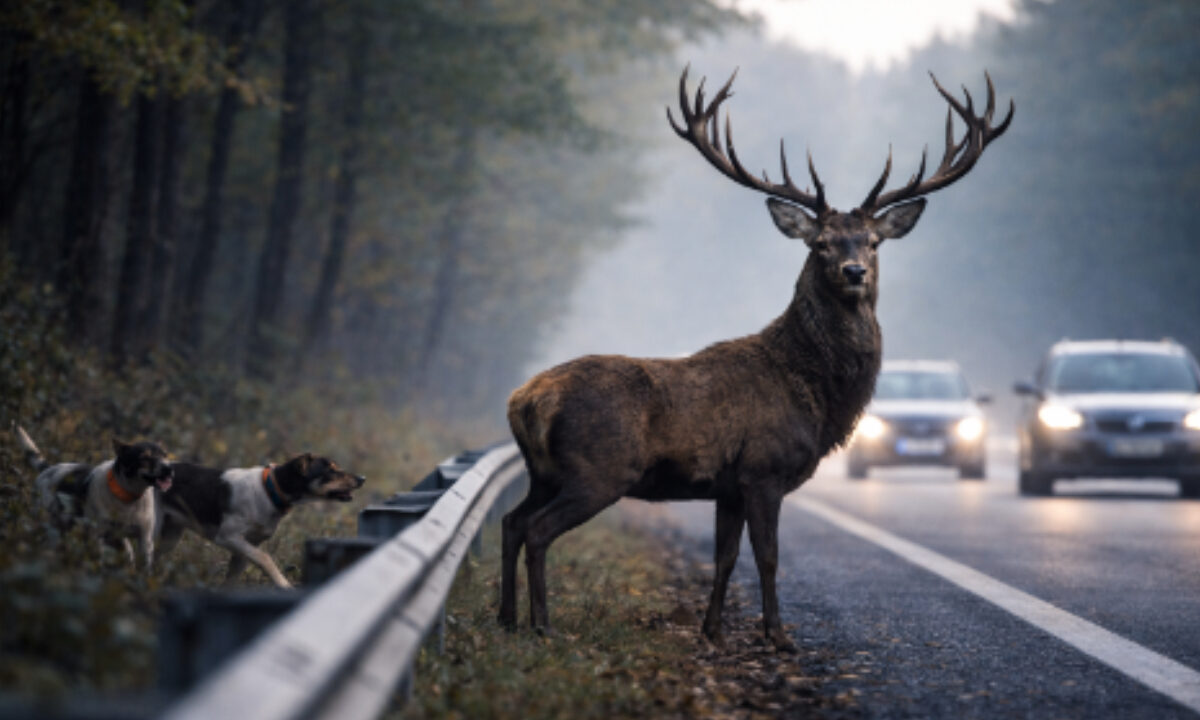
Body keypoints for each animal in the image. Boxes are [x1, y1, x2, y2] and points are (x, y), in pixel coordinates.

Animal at [500, 66, 1013, 651]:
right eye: (821, 243)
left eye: (873, 241)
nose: (854, 272)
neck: (817, 396)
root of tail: (524, 400)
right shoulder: (764, 468)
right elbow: (767, 557)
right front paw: (778, 635)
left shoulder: (728, 485)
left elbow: (725, 558)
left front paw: (713, 632)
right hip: (598, 469)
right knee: (537, 530)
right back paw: (542, 624)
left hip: (542, 471)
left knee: (511, 522)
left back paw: (507, 618)